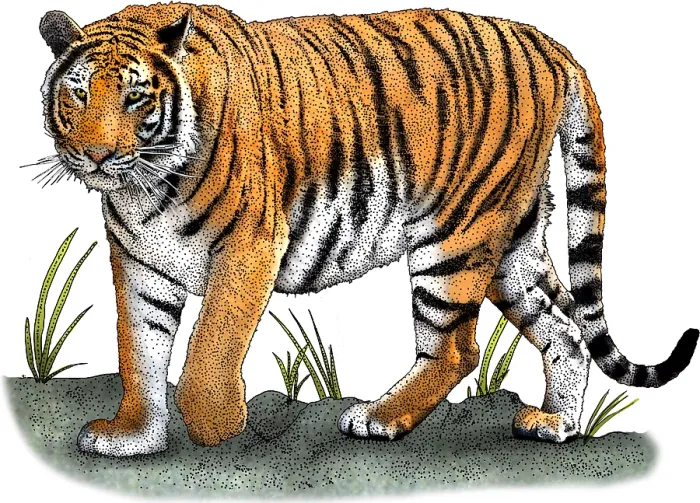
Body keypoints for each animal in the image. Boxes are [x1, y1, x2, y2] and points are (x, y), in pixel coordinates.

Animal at [35, 3, 698, 457]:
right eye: (78, 94)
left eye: (136, 100)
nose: (95, 156)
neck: (146, 188)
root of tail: (548, 41)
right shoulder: (138, 261)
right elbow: (139, 349)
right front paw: (134, 436)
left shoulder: (249, 246)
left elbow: (208, 349)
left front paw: (215, 428)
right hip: (511, 241)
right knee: (565, 332)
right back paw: (554, 424)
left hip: (456, 235)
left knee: (455, 348)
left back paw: (378, 418)